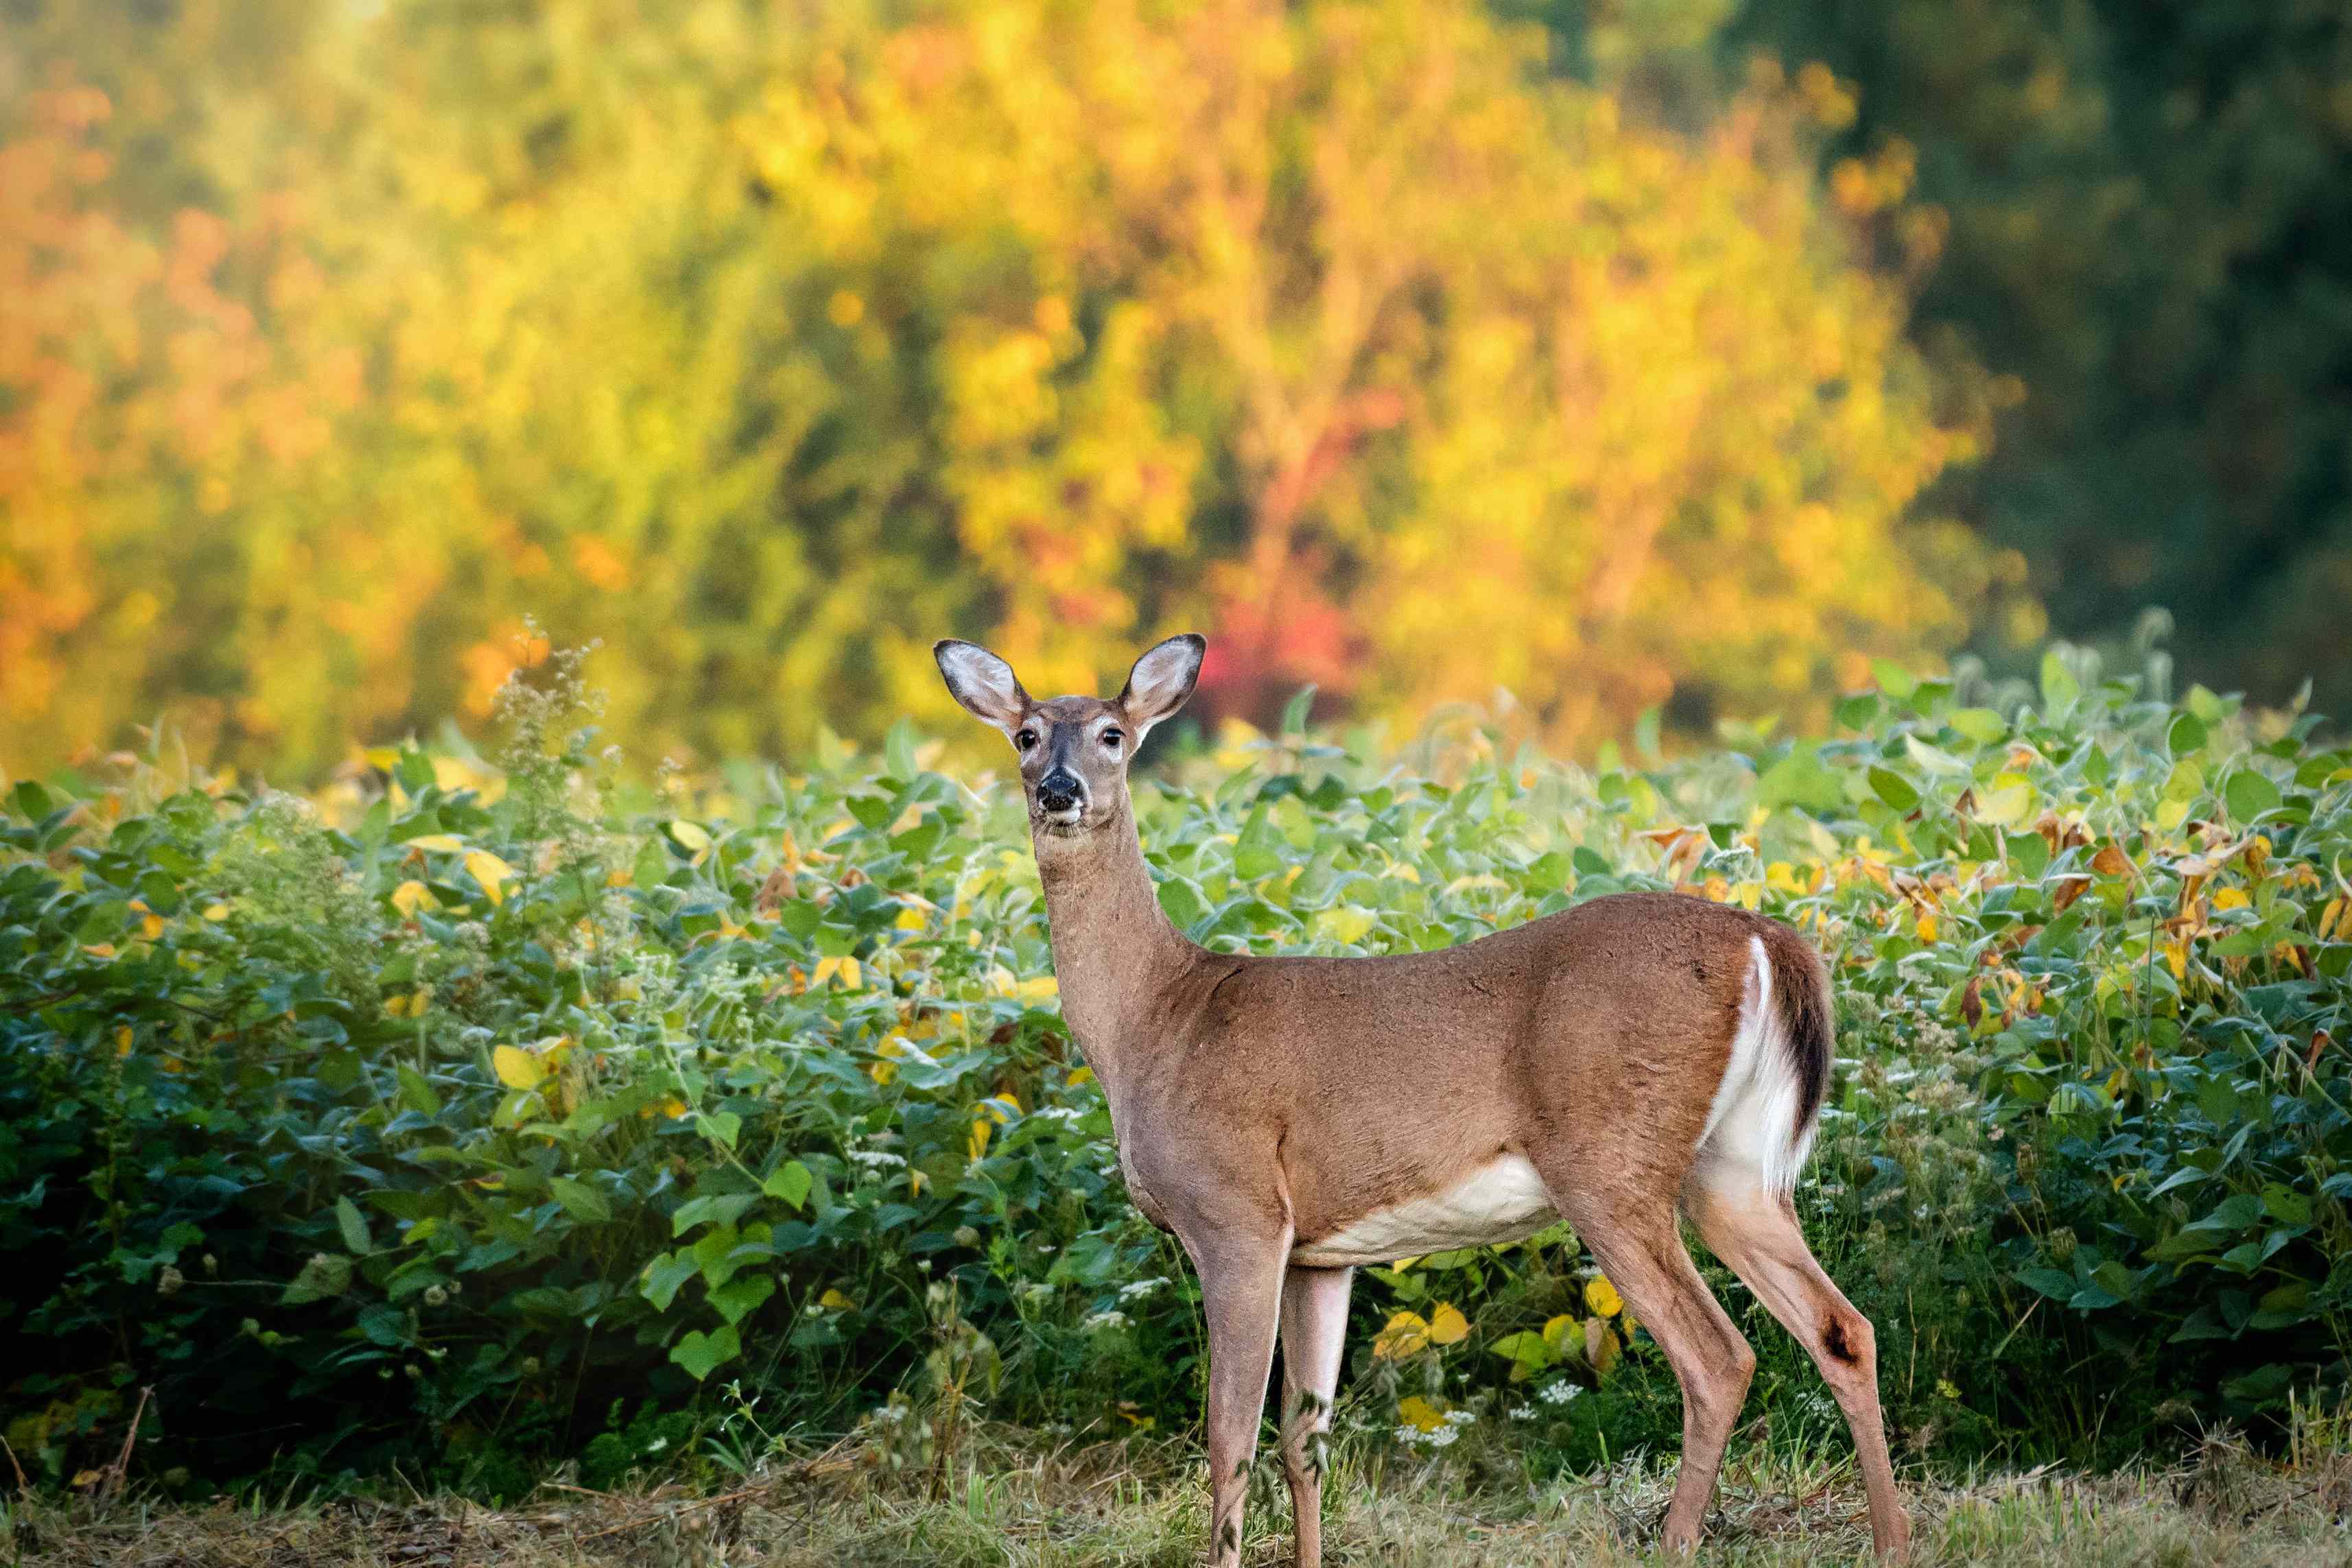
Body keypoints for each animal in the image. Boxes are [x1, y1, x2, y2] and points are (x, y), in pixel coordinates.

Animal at [932, 633, 1911, 1566]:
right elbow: (1305, 1440)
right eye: (1025, 736)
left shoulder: (1235, 1214)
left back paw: (1676, 1546)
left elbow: (1227, 1438)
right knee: (1842, 1326)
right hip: (1729, 1168)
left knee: (1718, 1358)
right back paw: (1890, 1543)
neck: (1156, 1020)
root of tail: (1765, 939)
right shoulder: (1319, 1253)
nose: (1058, 790)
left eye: (1111, 734)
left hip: (1608, 1161)